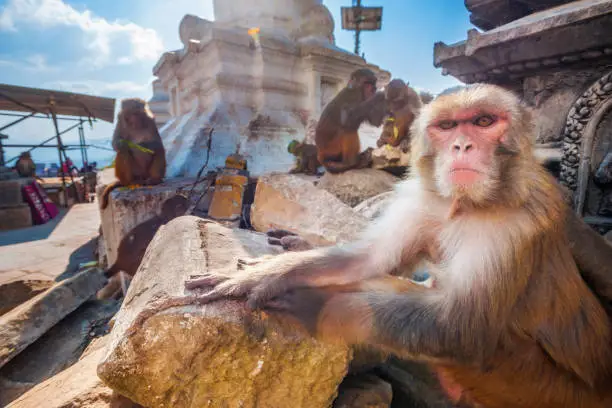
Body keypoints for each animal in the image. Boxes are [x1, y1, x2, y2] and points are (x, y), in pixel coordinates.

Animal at [183, 84, 612, 406]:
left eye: (484, 122)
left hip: (534, 384)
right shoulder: (424, 199)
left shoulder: (515, 224)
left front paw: (314, 305)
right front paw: (274, 272)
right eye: (447, 126)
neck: (465, 205)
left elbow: (459, 327)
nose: (461, 146)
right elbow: (369, 259)